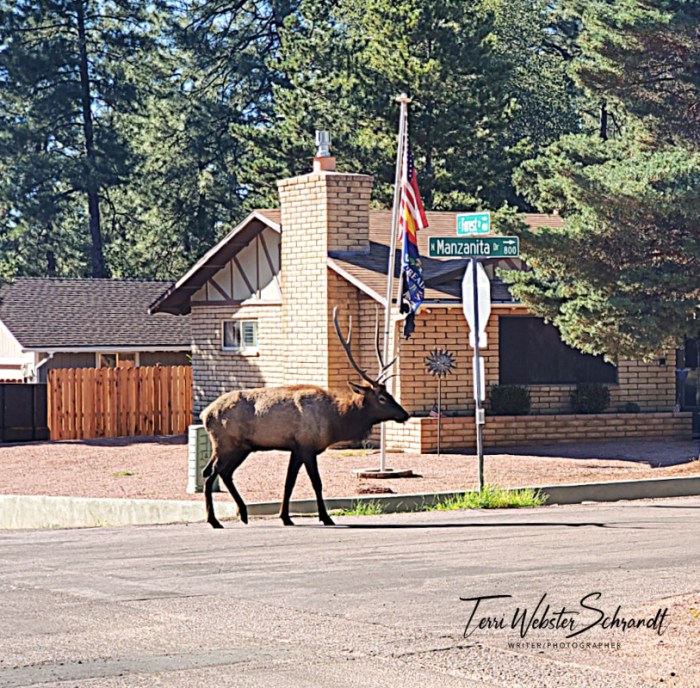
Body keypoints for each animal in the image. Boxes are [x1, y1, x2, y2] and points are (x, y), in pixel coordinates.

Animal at [200, 307, 410, 528]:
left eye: (389, 394)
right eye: (382, 398)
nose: (404, 414)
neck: (336, 421)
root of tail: (205, 414)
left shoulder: (297, 448)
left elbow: (288, 483)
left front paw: (285, 517)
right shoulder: (307, 446)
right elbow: (316, 482)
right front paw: (326, 517)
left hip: (240, 447)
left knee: (220, 473)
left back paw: (242, 514)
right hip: (228, 444)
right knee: (212, 474)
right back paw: (214, 520)